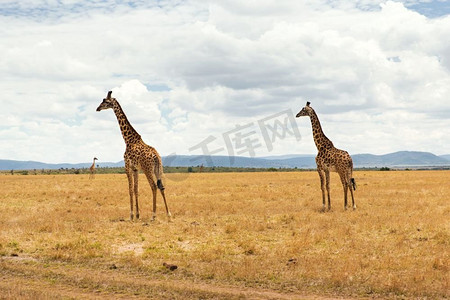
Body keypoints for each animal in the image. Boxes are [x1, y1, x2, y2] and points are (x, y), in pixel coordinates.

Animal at [96, 91, 171, 220]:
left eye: (105, 101)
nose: (97, 108)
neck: (128, 139)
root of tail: (156, 156)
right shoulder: (136, 169)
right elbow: (136, 189)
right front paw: (137, 214)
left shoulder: (128, 166)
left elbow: (130, 189)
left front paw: (131, 215)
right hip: (158, 169)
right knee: (161, 187)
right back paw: (168, 214)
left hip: (147, 169)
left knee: (153, 186)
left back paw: (154, 215)